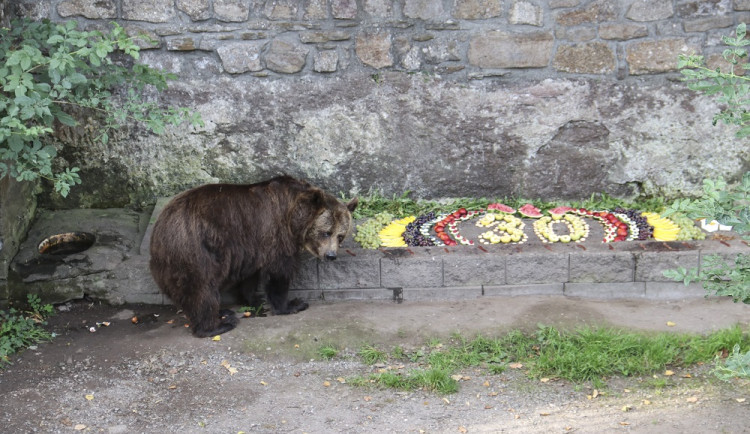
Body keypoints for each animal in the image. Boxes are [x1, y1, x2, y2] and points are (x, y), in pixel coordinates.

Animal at [150, 175, 358, 338]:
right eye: (326, 232)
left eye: (340, 235)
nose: (331, 255)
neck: (294, 218)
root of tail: (159, 228)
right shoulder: (276, 234)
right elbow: (279, 272)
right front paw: (292, 304)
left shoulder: (251, 246)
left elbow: (250, 274)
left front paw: (255, 299)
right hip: (196, 252)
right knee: (202, 289)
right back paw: (218, 325)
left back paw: (222, 313)